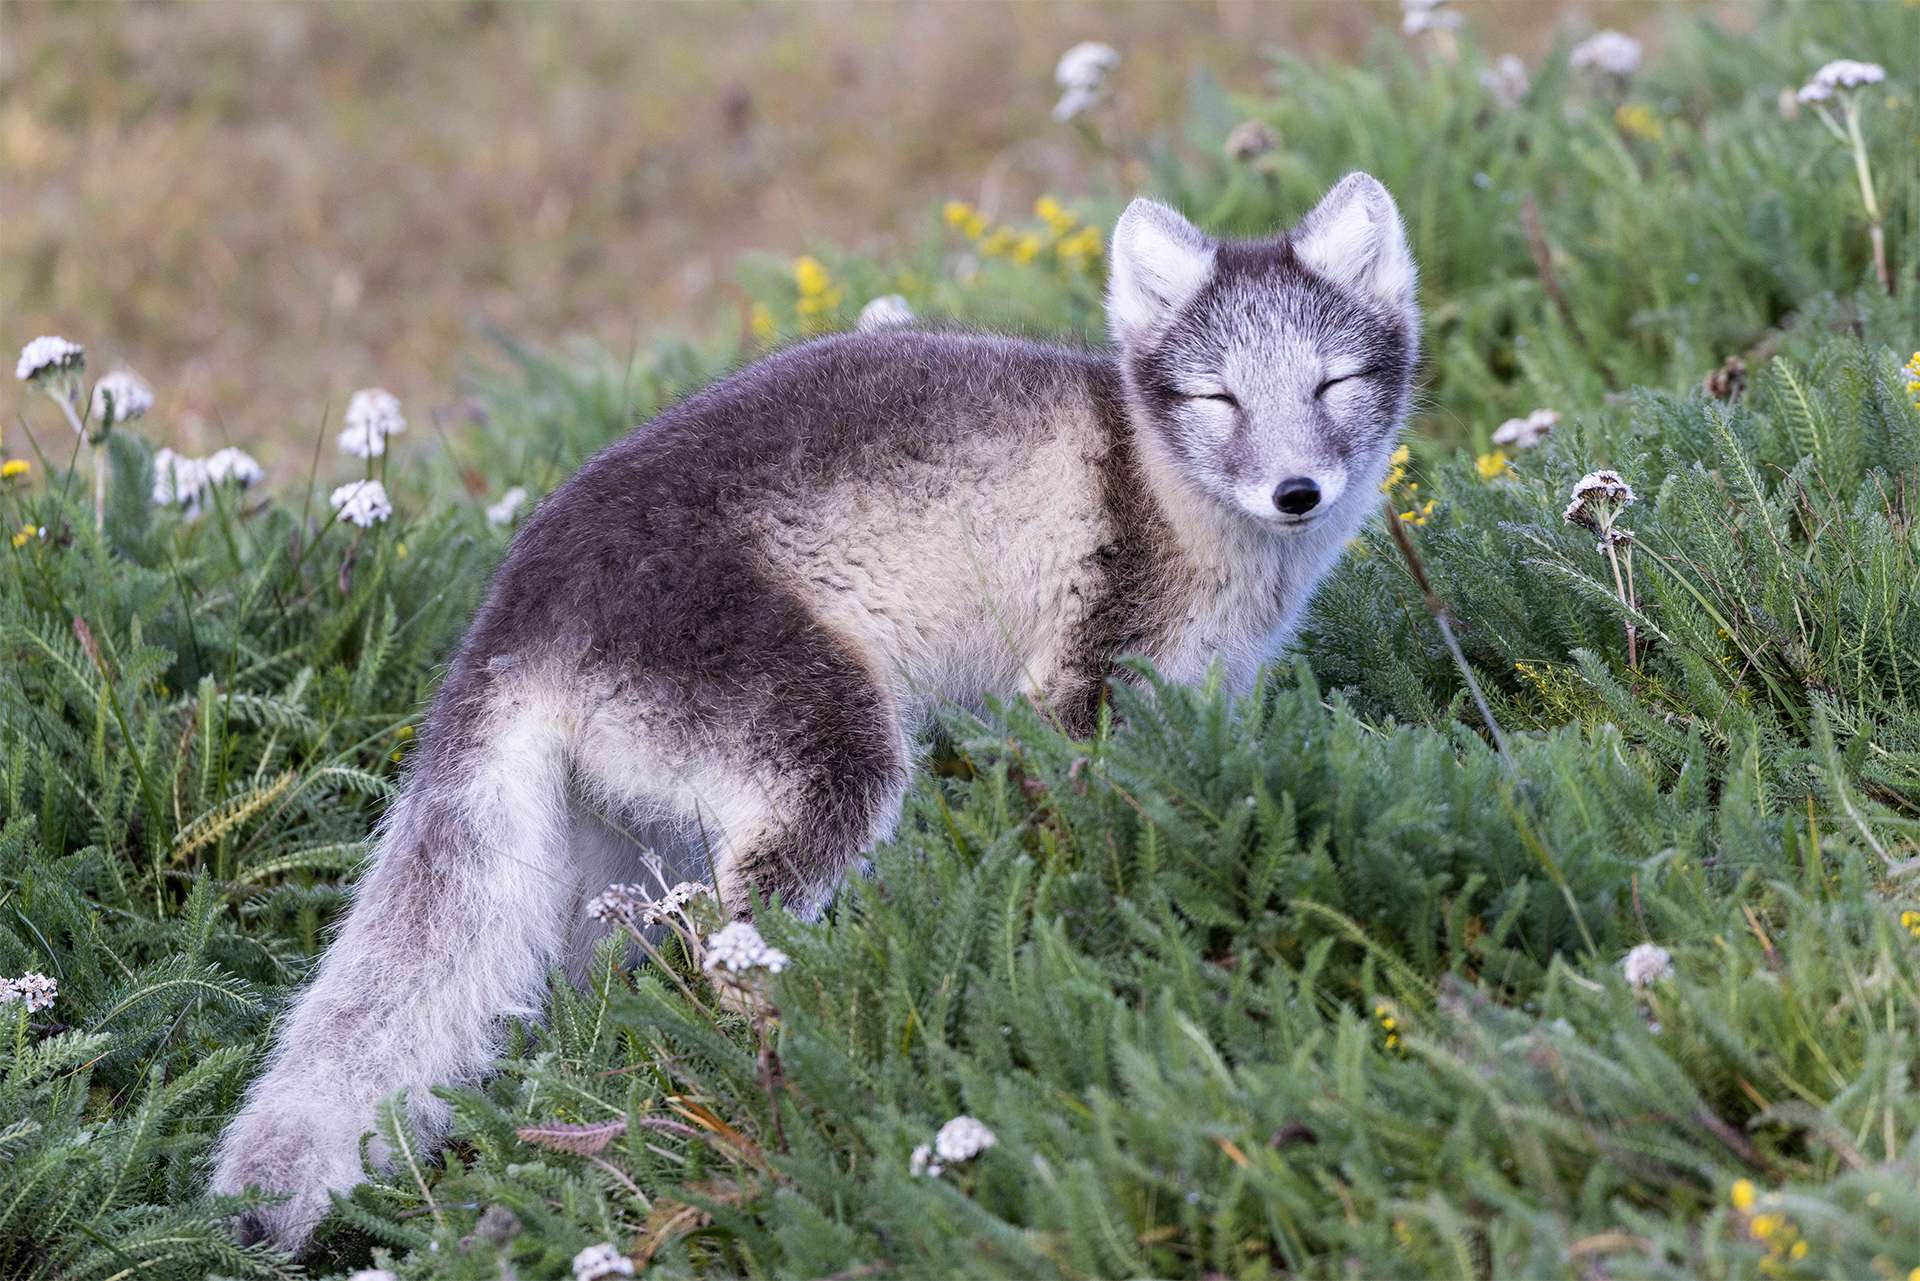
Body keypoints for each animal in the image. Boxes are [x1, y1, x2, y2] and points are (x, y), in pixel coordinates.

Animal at [214, 172, 1428, 1252]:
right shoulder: (1081, 683)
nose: (1296, 493)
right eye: (1220, 398)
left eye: (1331, 385)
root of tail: (511, 615)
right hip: (832, 753)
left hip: (615, 858)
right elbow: (1074, 832)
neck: (1168, 491)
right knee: (727, 952)